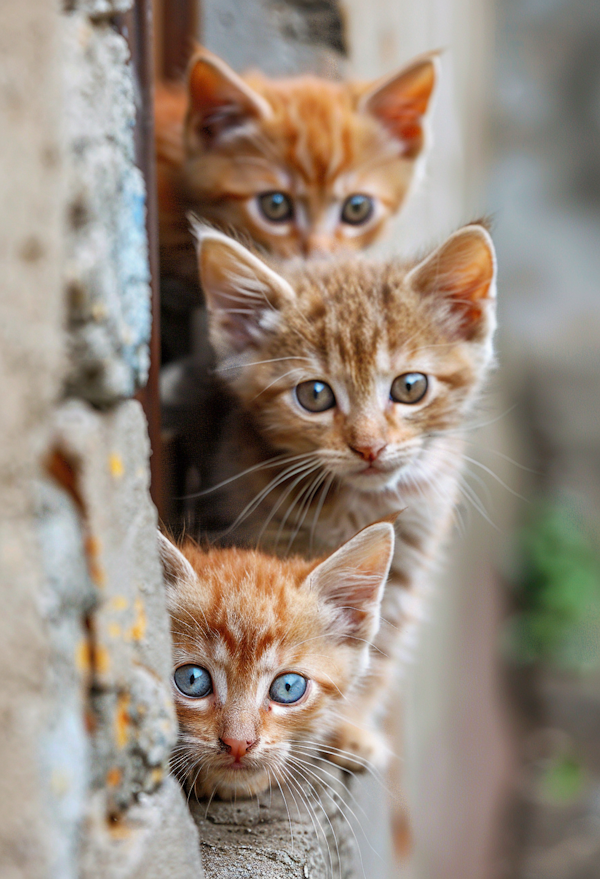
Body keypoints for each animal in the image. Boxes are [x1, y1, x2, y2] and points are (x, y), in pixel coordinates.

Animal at [171, 223, 500, 768]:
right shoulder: (263, 530)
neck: (358, 503)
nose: (370, 446)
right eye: (315, 395)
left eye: (410, 387)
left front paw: (349, 727)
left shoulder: (412, 551)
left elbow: (378, 645)